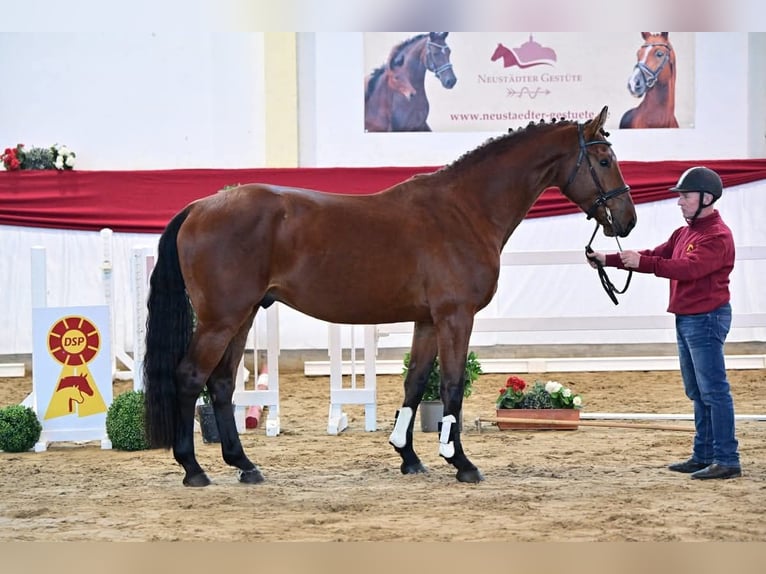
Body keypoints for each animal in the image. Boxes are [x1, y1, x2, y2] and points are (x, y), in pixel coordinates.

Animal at [143, 105, 637, 487]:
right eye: (604, 159)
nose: (627, 220)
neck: (464, 209)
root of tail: (200, 207)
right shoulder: (456, 317)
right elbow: (452, 385)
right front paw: (461, 462)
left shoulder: (428, 320)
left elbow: (416, 382)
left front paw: (408, 456)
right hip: (220, 321)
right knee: (190, 377)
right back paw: (193, 470)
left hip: (241, 317)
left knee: (222, 384)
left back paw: (244, 465)